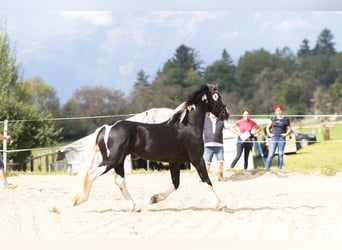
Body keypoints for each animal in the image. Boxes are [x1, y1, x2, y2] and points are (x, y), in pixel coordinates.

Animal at [72, 83, 231, 211]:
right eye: (218, 98)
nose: (227, 114)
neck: (187, 126)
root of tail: (106, 127)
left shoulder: (175, 162)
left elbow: (176, 184)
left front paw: (154, 199)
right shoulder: (197, 159)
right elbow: (206, 180)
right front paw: (221, 204)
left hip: (118, 161)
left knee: (119, 181)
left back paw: (134, 207)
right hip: (112, 160)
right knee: (91, 174)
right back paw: (78, 199)